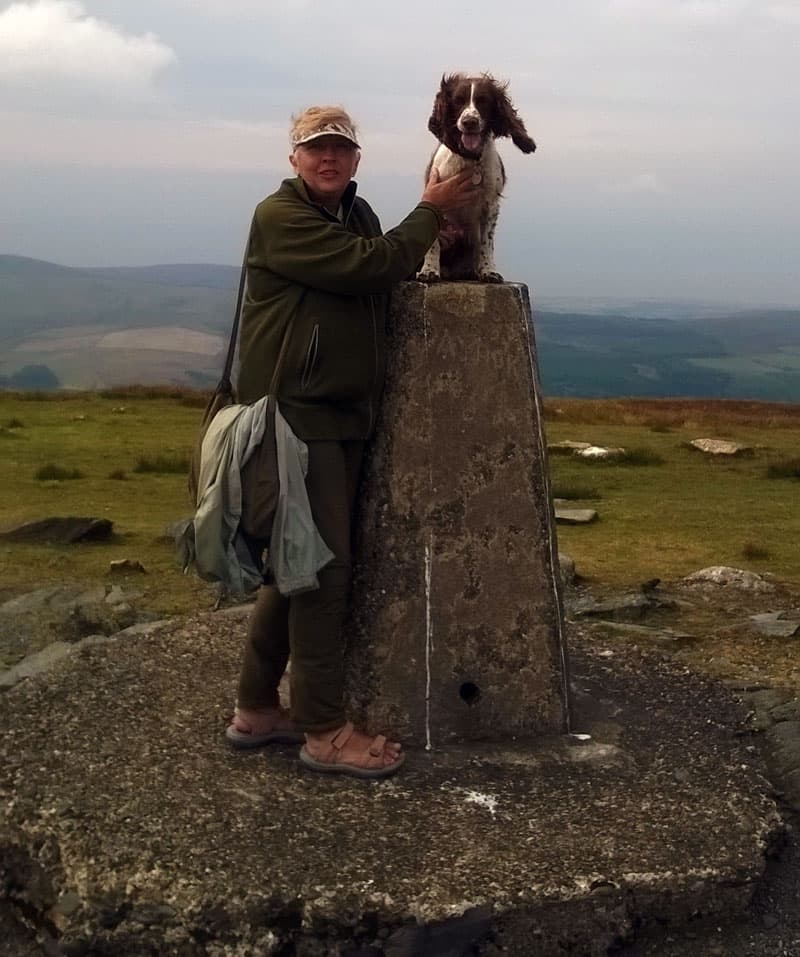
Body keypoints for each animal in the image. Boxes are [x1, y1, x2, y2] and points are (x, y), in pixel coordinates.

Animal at [416, 72, 536, 282]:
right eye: (458, 100)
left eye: (483, 101)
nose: (469, 122)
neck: (470, 159)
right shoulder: (436, 197)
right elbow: (433, 241)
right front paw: (429, 270)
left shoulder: (491, 205)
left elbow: (486, 243)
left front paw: (488, 271)